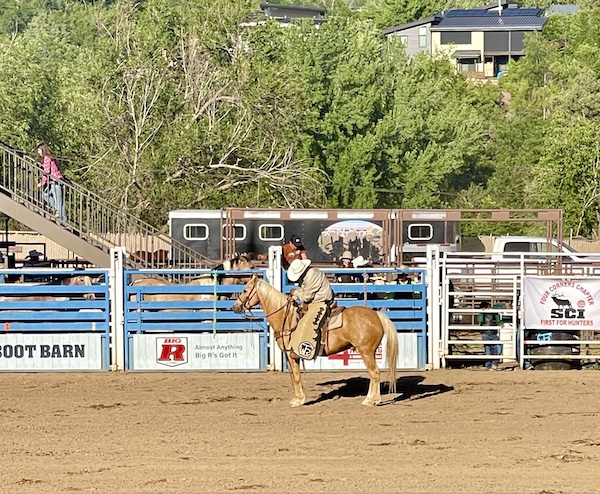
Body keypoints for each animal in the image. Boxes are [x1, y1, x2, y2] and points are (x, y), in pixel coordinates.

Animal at [233, 276, 398, 408]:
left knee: (375, 373)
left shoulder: (292, 355)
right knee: (372, 374)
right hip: (368, 352)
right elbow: (296, 377)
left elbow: (297, 377)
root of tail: (377, 316)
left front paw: (298, 401)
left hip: (366, 351)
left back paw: (372, 401)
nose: (235, 307)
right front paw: (298, 398)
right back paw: (369, 398)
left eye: (245, 290)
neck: (288, 319)